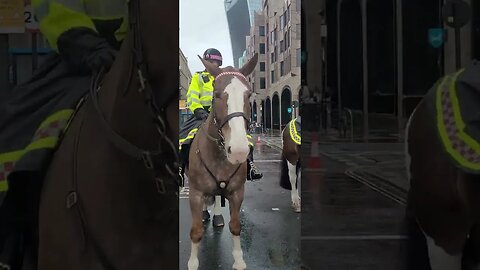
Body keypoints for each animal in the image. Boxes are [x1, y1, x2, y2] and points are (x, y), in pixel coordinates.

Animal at [186, 53, 258, 270]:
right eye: (216, 94)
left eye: (248, 95)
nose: (239, 150)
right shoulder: (195, 193)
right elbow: (196, 231)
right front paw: (193, 263)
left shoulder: (236, 193)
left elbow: (235, 226)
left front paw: (239, 260)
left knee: (217, 197)